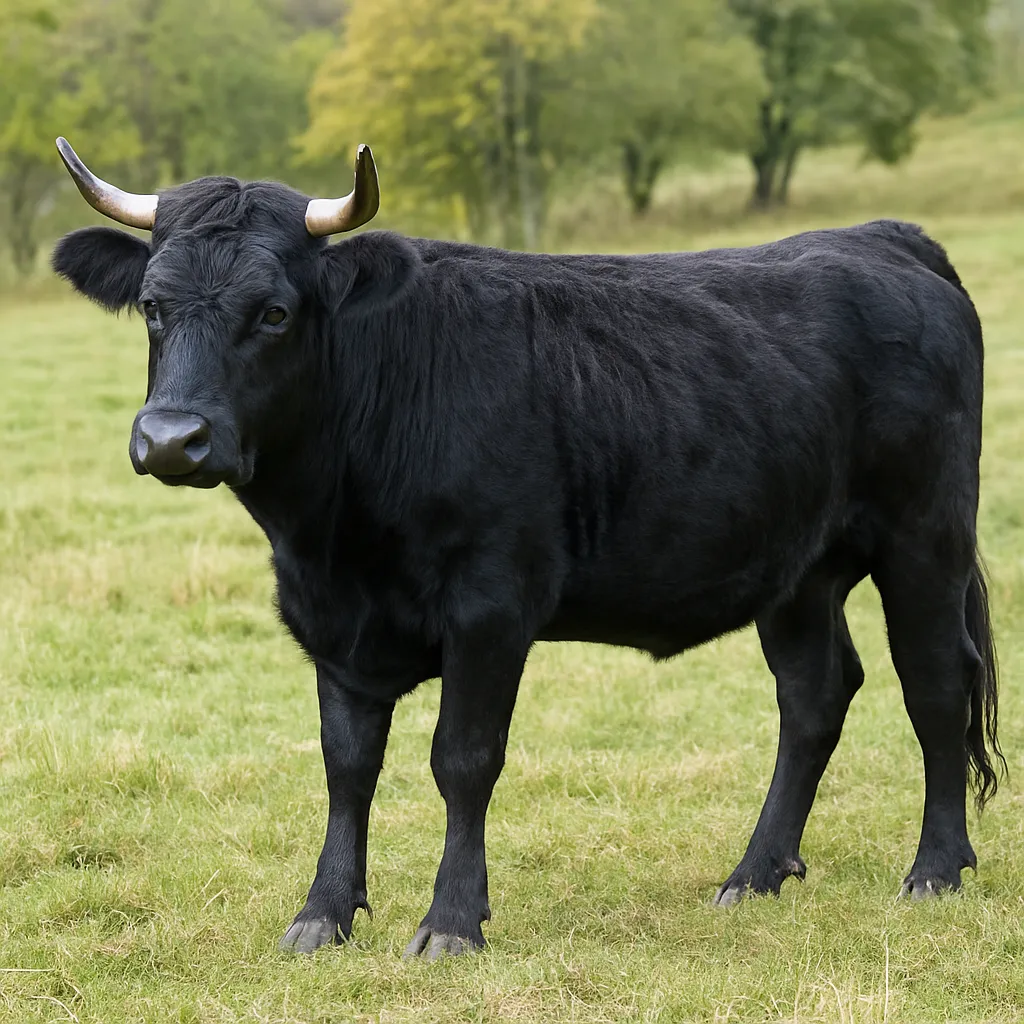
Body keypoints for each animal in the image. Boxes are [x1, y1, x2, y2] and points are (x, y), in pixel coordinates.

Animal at [51, 137, 1003, 960]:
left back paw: (933, 870)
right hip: (797, 571)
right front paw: (322, 914)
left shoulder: (491, 606)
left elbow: (463, 760)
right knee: (814, 696)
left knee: (935, 684)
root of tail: (883, 238)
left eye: (275, 311)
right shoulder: (332, 623)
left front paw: (450, 923)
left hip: (925, 537)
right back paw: (755, 874)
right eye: (152, 307)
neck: (332, 530)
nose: (172, 440)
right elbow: (346, 767)